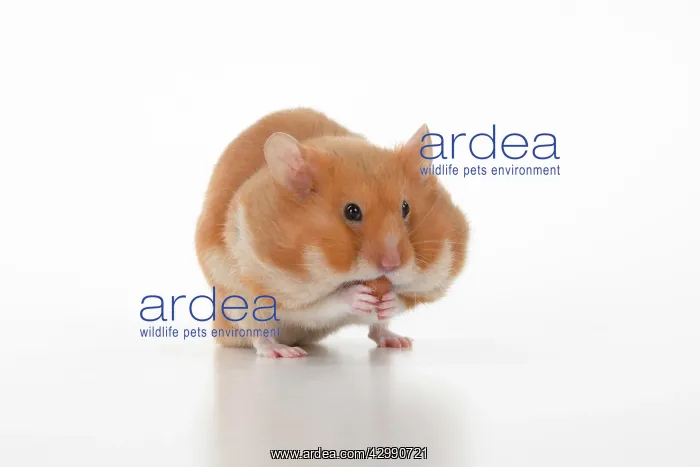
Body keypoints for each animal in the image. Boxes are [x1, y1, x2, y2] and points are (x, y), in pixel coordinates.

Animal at [195, 108, 469, 358]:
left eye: (405, 207)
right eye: (352, 211)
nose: (392, 265)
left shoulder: (432, 282)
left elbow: (405, 297)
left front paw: (390, 299)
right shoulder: (280, 288)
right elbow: (324, 303)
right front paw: (358, 295)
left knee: (377, 329)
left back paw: (399, 342)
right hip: (237, 302)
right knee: (259, 336)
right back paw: (285, 352)